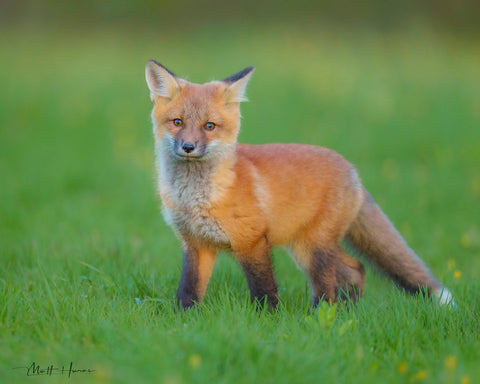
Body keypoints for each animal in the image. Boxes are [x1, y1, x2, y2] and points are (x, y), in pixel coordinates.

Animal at [144, 60, 452, 312]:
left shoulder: (252, 242)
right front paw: (184, 319)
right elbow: (188, 290)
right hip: (310, 245)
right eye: (177, 122)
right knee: (356, 269)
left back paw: (320, 318)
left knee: (329, 286)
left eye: (209, 126)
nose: (188, 147)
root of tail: (352, 169)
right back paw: (350, 313)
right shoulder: (196, 244)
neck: (198, 197)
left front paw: (267, 320)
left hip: (312, 248)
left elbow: (265, 289)